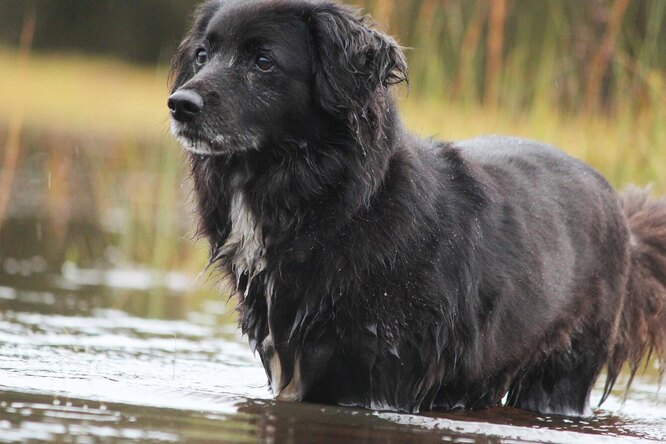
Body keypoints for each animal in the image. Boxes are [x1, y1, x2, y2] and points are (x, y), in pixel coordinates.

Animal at [166, 0, 664, 416]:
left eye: (263, 61)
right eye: (203, 55)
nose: (179, 104)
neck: (338, 207)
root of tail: (620, 210)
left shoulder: (377, 376)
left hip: (563, 371)